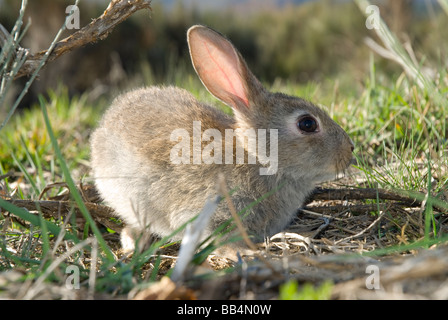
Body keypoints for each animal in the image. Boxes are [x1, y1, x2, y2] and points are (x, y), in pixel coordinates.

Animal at [90, 25, 354, 255]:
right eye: (307, 124)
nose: (350, 150)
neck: (257, 158)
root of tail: (106, 120)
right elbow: (219, 239)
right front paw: (246, 253)